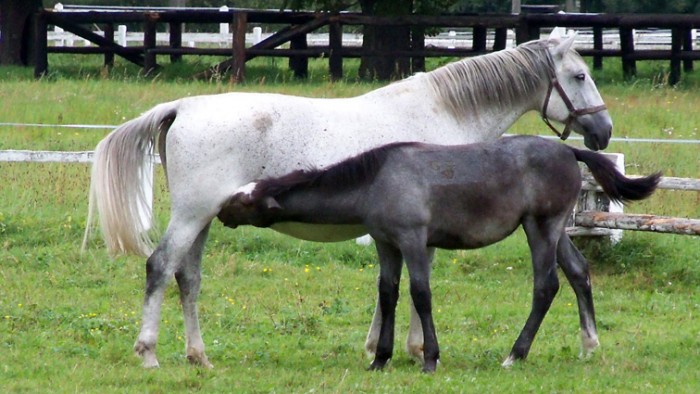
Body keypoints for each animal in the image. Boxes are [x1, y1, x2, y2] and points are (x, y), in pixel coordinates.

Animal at [85, 35, 612, 368]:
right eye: (579, 75)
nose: (604, 132)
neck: (442, 112)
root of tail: (183, 107)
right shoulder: (416, 232)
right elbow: (413, 288)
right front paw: (412, 350)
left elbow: (393, 288)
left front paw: (385, 348)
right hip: (193, 215)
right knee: (159, 267)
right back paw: (148, 353)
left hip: (204, 218)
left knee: (187, 278)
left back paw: (199, 357)